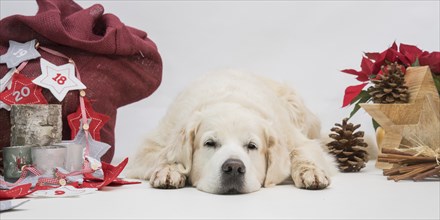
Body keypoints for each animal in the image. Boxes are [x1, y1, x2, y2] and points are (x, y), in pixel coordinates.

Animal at [127, 71, 336, 194]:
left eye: (252, 146)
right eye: (210, 143)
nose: (234, 168)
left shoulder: (296, 139)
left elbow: (301, 153)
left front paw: (312, 172)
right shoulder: (150, 146)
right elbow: (166, 156)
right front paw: (169, 170)